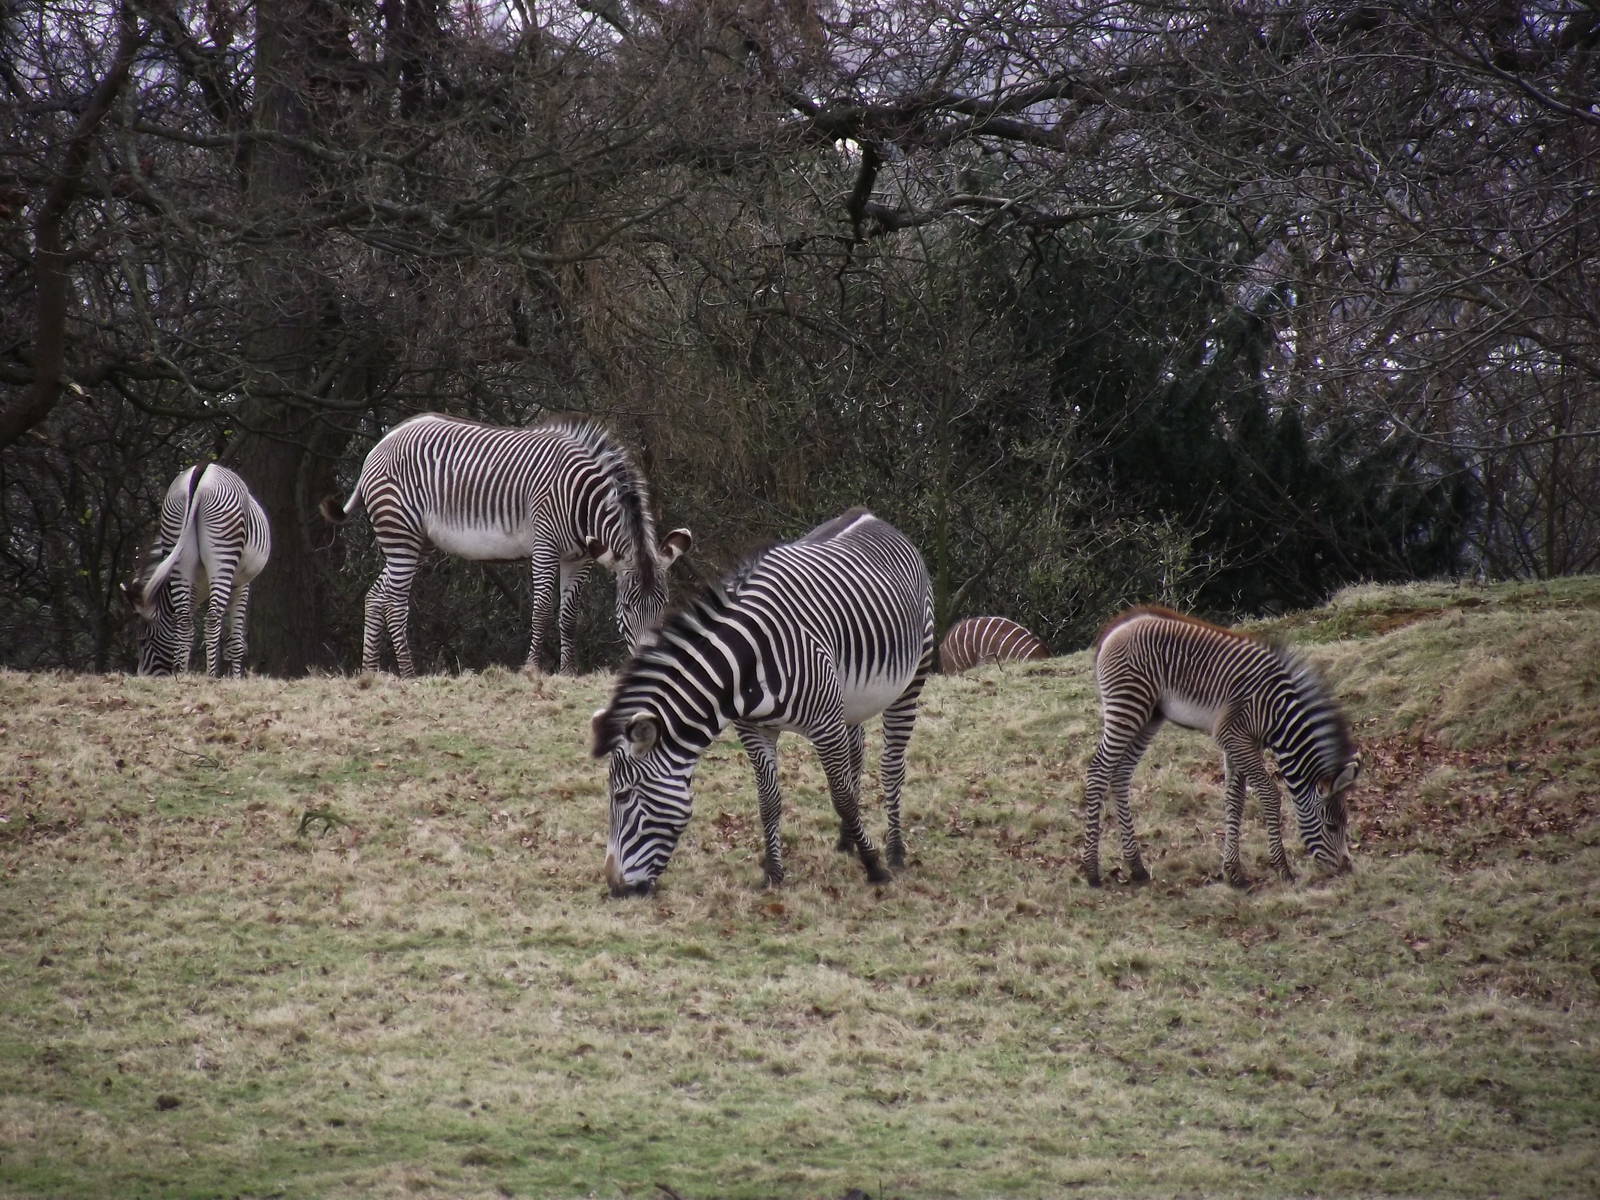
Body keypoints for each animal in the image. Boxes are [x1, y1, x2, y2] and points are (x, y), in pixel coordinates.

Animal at [126, 463, 271, 677]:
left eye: (143, 641)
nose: (142, 676)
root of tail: (200, 473)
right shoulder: (241, 583)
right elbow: (236, 641)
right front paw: (236, 678)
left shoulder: (197, 585)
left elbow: (191, 629)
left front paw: (183, 668)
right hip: (222, 551)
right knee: (212, 618)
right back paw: (211, 675)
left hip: (178, 544)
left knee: (183, 618)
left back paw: (181, 674)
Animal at [321, 413, 691, 677]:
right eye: (626, 608)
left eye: (663, 605)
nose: (647, 663)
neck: (585, 499)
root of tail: (381, 444)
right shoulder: (545, 544)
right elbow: (542, 607)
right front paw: (531, 669)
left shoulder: (580, 556)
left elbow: (569, 614)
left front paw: (568, 672)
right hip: (401, 534)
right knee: (395, 602)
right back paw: (409, 674)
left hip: (415, 541)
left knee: (376, 595)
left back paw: (370, 674)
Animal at [591, 508, 935, 897]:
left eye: (622, 796)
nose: (616, 888)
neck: (745, 664)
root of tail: (868, 514)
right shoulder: (755, 730)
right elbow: (769, 801)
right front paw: (773, 873)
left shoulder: (825, 724)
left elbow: (842, 797)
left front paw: (874, 866)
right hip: (850, 700)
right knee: (857, 752)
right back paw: (847, 840)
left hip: (912, 675)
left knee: (891, 766)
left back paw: (895, 851)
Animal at [1082, 605, 1360, 889]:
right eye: (1331, 826)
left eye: (1345, 823)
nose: (1346, 869)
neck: (1278, 714)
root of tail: (1118, 627)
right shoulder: (1234, 736)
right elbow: (1270, 794)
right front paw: (1283, 869)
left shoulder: (1242, 742)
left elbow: (1234, 798)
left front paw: (1233, 872)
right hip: (1127, 706)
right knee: (1098, 771)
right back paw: (1092, 871)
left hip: (1149, 716)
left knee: (1120, 774)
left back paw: (1136, 867)